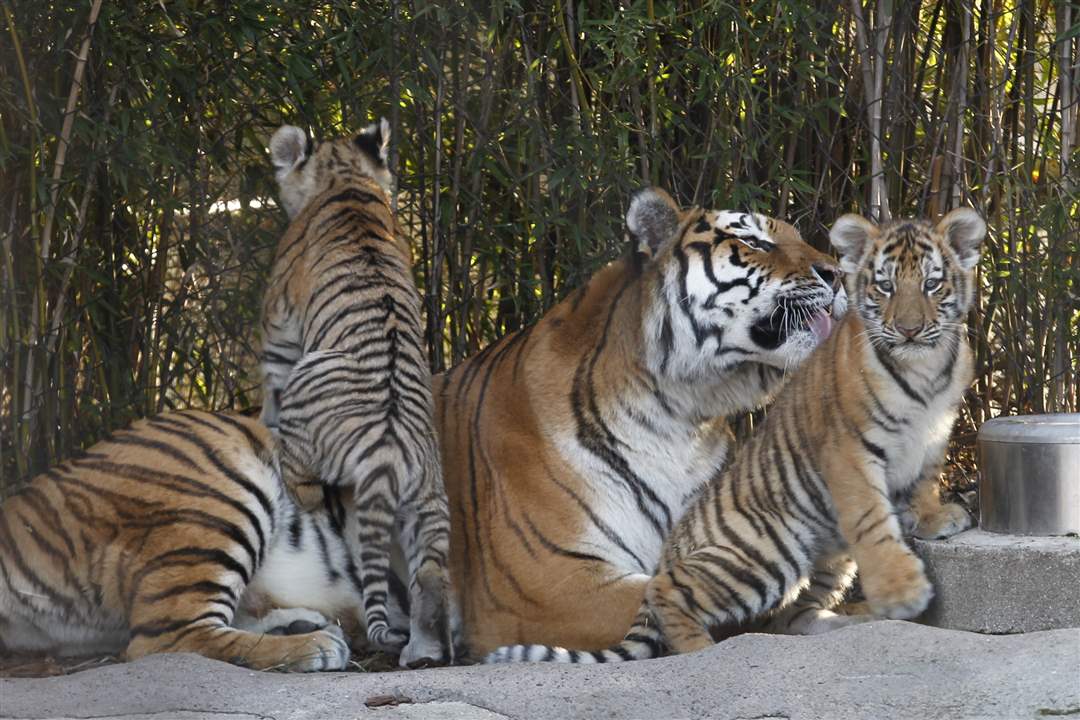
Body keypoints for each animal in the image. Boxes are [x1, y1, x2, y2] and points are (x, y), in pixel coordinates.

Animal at [259, 120, 452, 666]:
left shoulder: (279, 329)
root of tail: (386, 452)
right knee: (430, 576)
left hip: (306, 400)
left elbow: (269, 373)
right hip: (428, 506)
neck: (345, 178)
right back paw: (422, 652)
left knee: (303, 483)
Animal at [486, 207, 985, 663]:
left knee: (791, 618)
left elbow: (924, 483)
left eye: (932, 285)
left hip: (826, 558)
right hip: (765, 551)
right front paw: (903, 591)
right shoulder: (847, 448)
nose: (908, 329)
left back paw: (852, 620)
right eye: (884, 286)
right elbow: (872, 521)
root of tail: (673, 546)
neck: (924, 370)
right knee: (669, 590)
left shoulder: (934, 434)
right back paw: (699, 651)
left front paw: (935, 518)